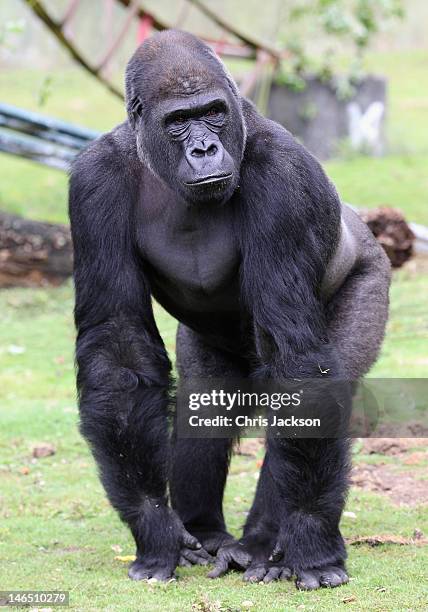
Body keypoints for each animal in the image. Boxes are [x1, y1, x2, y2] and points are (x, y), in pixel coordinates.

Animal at [69, 28, 392, 588]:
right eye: (179, 120)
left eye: (215, 112)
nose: (204, 148)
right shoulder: (94, 183)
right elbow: (118, 349)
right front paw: (156, 527)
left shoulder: (284, 177)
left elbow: (296, 359)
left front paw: (311, 541)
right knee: (204, 400)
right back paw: (207, 532)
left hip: (371, 274)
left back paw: (265, 541)